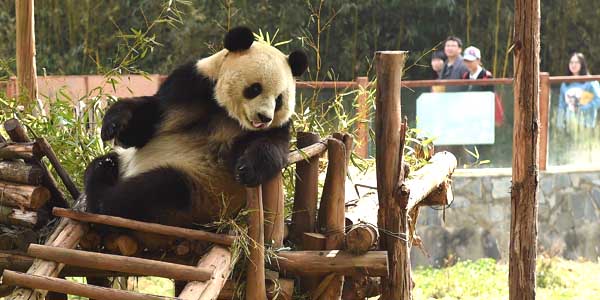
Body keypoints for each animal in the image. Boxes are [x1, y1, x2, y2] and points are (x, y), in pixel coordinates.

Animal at [83, 26, 310, 227]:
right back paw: (103, 176)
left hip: (199, 192)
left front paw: (247, 169)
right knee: (105, 164)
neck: (225, 112)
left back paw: (103, 197)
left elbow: (271, 146)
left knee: (155, 189)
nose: (264, 117)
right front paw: (115, 124)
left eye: (279, 99)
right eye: (255, 88)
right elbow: (146, 125)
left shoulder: (273, 128)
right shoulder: (189, 86)